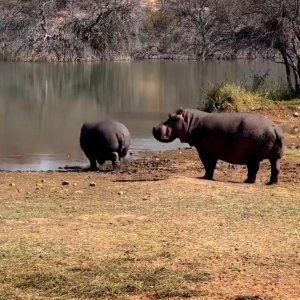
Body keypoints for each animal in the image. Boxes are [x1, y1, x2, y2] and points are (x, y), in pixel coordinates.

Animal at [152, 108, 284, 183]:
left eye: (172, 118)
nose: (154, 127)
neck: (191, 122)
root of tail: (274, 128)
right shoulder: (212, 153)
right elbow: (212, 165)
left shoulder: (204, 151)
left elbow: (208, 165)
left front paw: (205, 177)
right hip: (275, 156)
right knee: (275, 168)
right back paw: (271, 183)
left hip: (253, 157)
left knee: (254, 169)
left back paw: (248, 181)